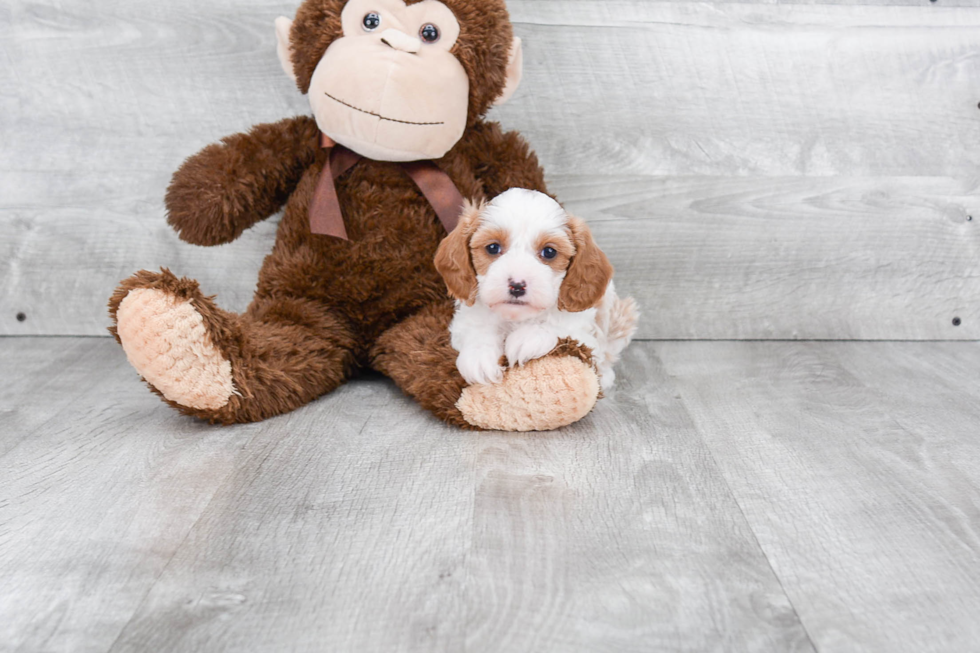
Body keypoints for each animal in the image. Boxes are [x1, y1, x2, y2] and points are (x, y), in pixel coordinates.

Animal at [434, 188, 636, 392]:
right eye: (492, 247)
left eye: (549, 252)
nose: (517, 285)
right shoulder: (463, 322)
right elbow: (477, 329)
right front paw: (479, 356)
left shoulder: (586, 337)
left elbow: (559, 328)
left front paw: (527, 338)